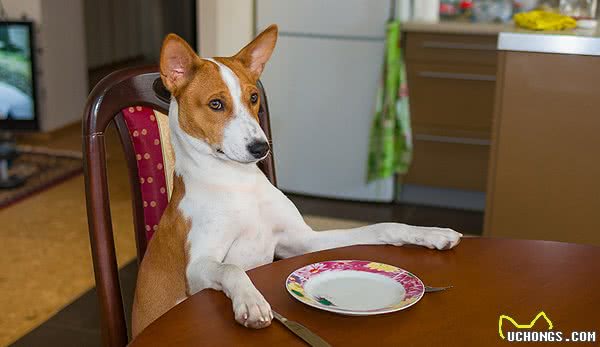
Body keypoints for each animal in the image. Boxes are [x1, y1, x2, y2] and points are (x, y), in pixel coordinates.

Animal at [130, 25, 460, 340]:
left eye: (253, 98)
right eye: (215, 104)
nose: (260, 148)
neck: (238, 184)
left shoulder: (303, 242)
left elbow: (382, 227)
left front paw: (431, 233)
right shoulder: (197, 267)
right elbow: (232, 268)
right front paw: (251, 301)